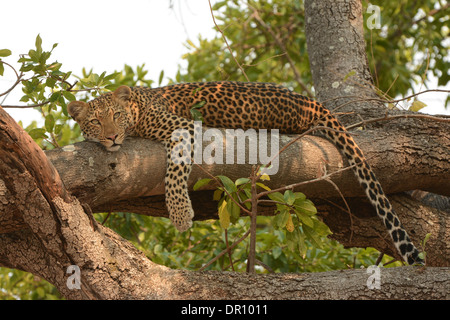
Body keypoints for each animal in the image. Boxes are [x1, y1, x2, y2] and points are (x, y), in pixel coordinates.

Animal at [66, 82, 422, 264]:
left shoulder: (181, 128)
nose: (112, 136)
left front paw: (180, 213)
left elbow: (175, 172)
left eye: (116, 115)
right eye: (96, 121)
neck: (137, 111)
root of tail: (306, 100)